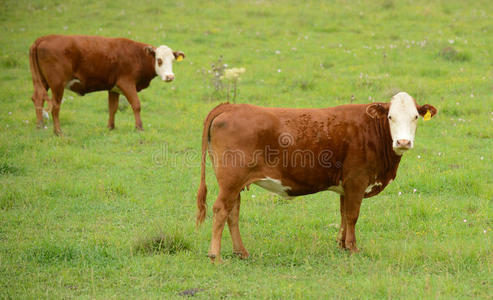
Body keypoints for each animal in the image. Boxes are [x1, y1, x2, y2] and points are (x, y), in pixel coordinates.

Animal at [29, 33, 186, 135]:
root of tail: (43, 39)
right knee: (55, 106)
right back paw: (58, 131)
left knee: (38, 98)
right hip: (57, 84)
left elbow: (113, 108)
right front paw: (139, 128)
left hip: (42, 82)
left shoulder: (114, 88)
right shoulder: (126, 83)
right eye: (159, 60)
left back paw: (40, 125)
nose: (170, 77)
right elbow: (136, 105)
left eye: (172, 60)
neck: (138, 56)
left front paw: (111, 127)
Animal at [194, 92, 436, 262]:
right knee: (220, 210)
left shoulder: (345, 185)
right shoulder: (356, 181)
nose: (403, 142)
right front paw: (353, 248)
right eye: (390, 117)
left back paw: (241, 252)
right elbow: (352, 216)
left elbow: (343, 214)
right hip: (231, 180)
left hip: (235, 183)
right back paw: (215, 256)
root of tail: (231, 106)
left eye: (415, 117)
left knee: (233, 213)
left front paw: (342, 245)